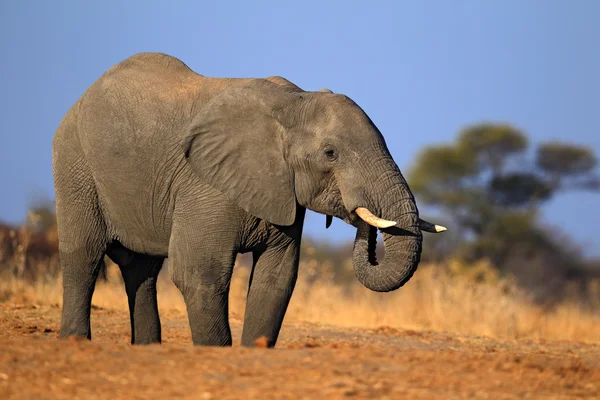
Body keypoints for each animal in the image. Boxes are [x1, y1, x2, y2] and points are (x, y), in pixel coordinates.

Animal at [51, 52, 446, 346]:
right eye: (330, 153)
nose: (360, 217)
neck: (294, 103)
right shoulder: (203, 182)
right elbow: (200, 272)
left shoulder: (284, 194)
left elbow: (277, 278)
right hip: (75, 163)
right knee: (84, 255)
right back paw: (76, 342)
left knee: (141, 269)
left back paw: (147, 348)